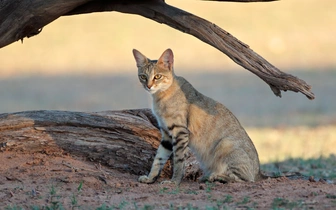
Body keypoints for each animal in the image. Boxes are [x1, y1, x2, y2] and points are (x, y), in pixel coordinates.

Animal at [133, 48, 264, 185]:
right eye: (143, 76)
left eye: (157, 76)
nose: (148, 86)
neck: (159, 97)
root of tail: (258, 173)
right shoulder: (166, 135)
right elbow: (158, 159)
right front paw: (150, 178)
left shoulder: (180, 132)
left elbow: (178, 160)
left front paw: (174, 181)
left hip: (225, 144)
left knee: (244, 179)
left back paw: (215, 176)